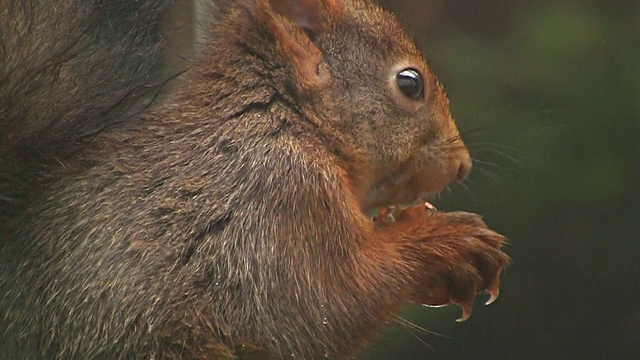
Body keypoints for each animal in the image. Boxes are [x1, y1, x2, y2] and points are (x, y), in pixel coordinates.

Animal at [0, 0, 510, 358]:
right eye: (410, 83)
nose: (462, 165)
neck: (285, 119)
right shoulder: (275, 203)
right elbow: (329, 303)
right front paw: (447, 243)